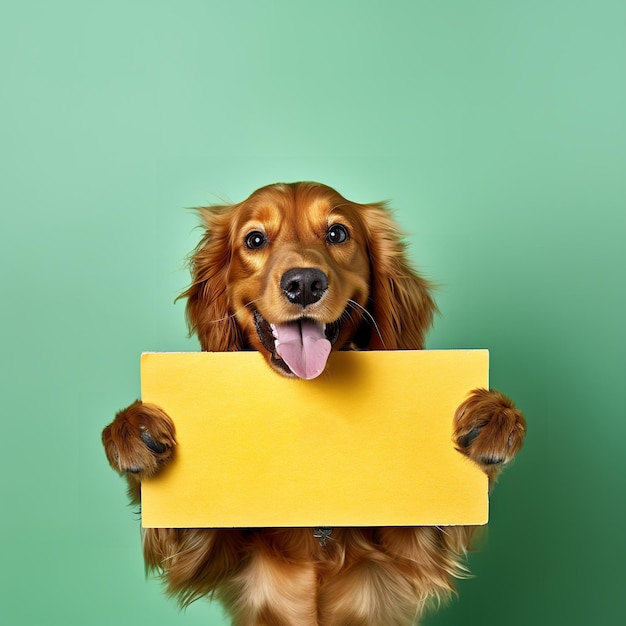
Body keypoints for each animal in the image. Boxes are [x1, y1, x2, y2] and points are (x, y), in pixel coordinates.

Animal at [101, 178, 520, 620]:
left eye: (337, 233)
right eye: (255, 239)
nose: (304, 283)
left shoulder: (411, 553)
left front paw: (494, 417)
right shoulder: (209, 549)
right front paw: (132, 429)